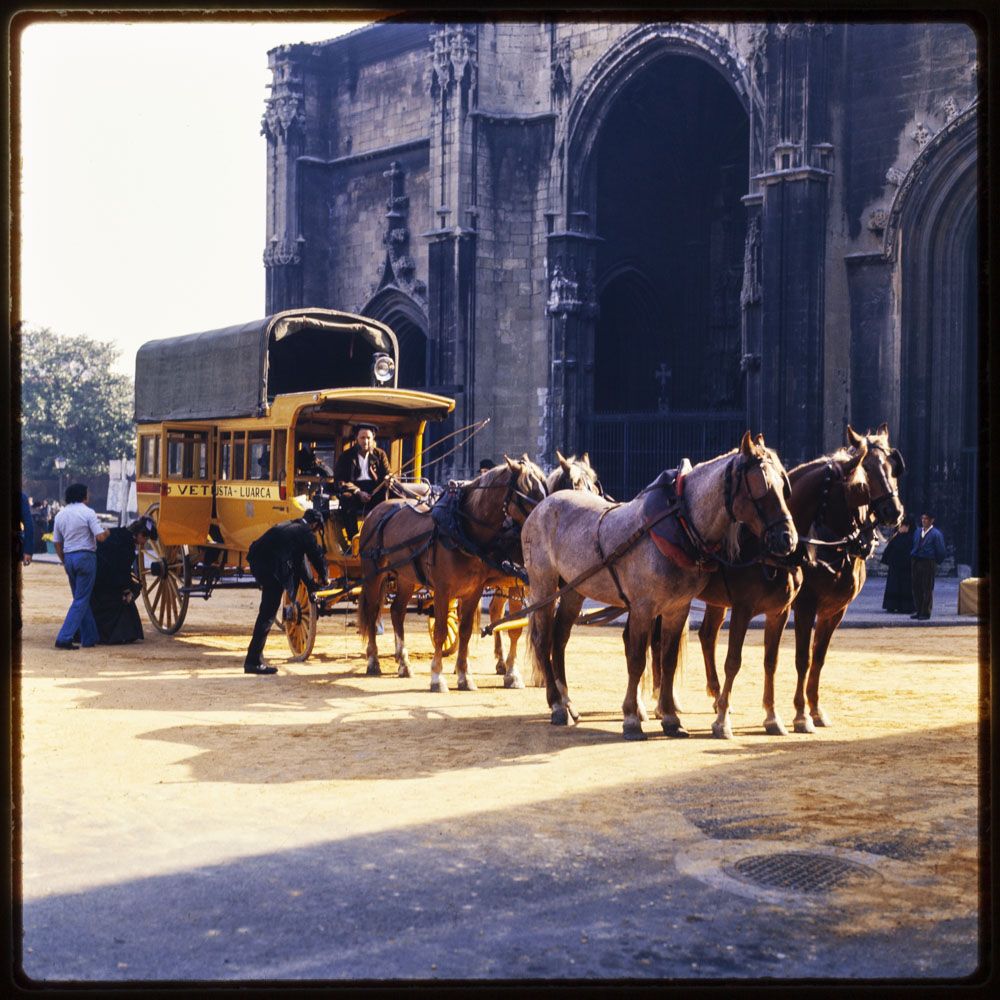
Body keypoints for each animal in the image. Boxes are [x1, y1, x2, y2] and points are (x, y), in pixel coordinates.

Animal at [358, 458, 548, 692]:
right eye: (527, 496)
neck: (461, 529)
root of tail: (377, 510)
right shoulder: (442, 590)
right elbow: (440, 631)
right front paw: (437, 677)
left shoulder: (477, 590)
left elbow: (470, 630)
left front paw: (467, 676)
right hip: (373, 574)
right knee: (373, 611)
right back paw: (373, 660)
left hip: (407, 578)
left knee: (397, 611)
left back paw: (404, 663)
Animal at [484, 454, 600, 688]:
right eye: (575, 487)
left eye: (594, 488)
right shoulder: (525, 586)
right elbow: (520, 628)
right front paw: (518, 673)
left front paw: (544, 674)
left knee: (494, 611)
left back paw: (500, 661)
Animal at [524, 434, 796, 740]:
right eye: (761, 486)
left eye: (784, 485)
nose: (787, 538)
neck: (679, 525)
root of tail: (543, 506)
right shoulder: (644, 608)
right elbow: (637, 659)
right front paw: (632, 719)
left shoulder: (677, 608)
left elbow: (667, 659)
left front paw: (670, 718)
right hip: (544, 586)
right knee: (543, 639)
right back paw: (557, 705)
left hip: (573, 589)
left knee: (559, 639)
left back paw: (568, 702)